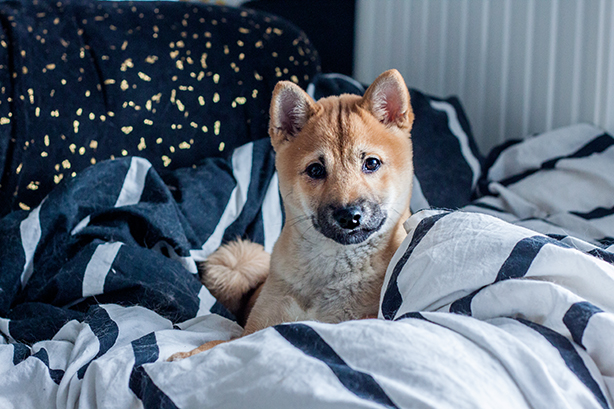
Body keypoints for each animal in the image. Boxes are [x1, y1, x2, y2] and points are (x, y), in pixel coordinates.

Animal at [168, 69, 414, 361]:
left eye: (372, 163)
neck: (331, 268)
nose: (349, 216)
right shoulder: (257, 328)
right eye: (316, 170)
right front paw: (187, 355)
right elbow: (216, 344)